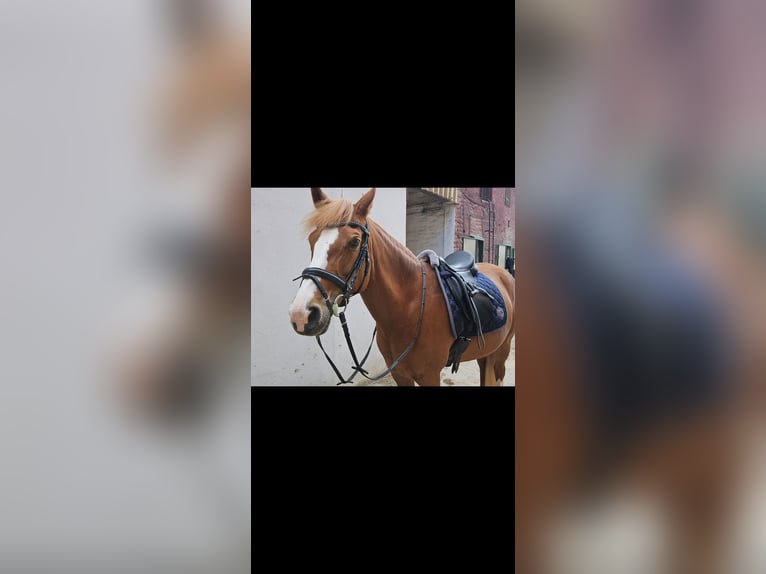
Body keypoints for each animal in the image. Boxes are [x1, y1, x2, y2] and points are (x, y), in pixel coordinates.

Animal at [288, 187, 515, 387]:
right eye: (312, 239)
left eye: (354, 242)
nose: (302, 314)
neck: (409, 306)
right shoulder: (400, 375)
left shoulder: (430, 376)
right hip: (486, 353)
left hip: (502, 352)